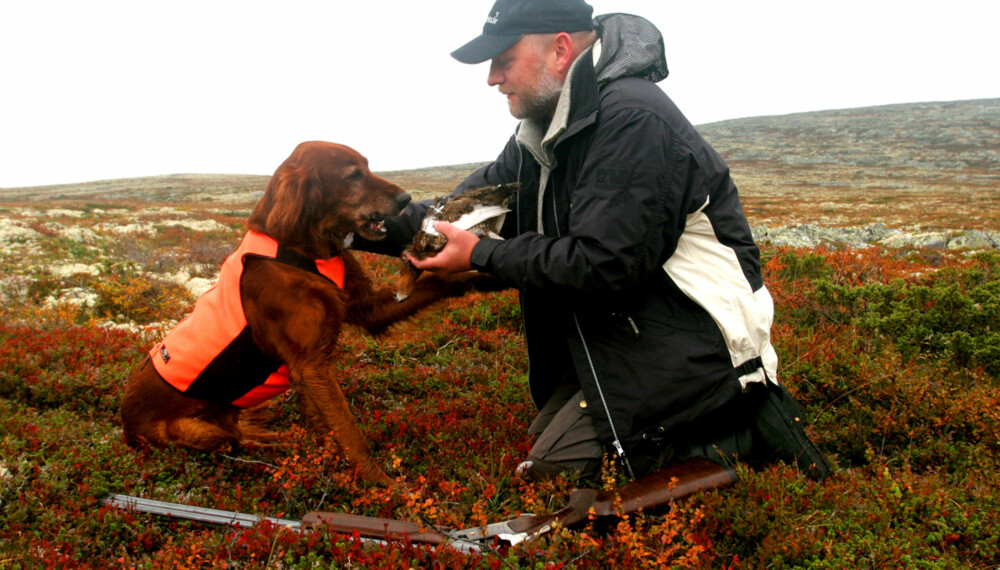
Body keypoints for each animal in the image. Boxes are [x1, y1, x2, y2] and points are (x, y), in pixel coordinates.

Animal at [121, 140, 496, 482]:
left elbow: (438, 281)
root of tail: (125, 428)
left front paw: (484, 274)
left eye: (368, 165)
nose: (405, 201)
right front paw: (383, 486)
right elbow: (348, 430)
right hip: (195, 429)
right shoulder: (312, 365)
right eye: (353, 174)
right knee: (234, 442)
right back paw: (281, 445)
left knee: (239, 432)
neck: (302, 249)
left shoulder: (366, 310)